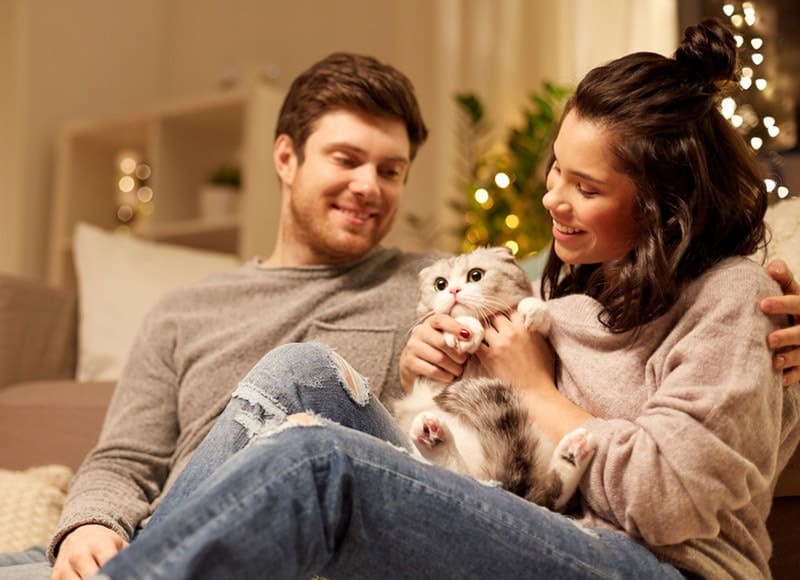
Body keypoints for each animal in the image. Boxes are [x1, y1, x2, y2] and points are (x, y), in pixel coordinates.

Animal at [394, 247, 592, 510]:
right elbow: (457, 323)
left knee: (544, 494)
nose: (454, 291)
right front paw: (467, 332)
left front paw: (534, 311)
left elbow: (537, 310)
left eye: (476, 275)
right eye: (440, 284)